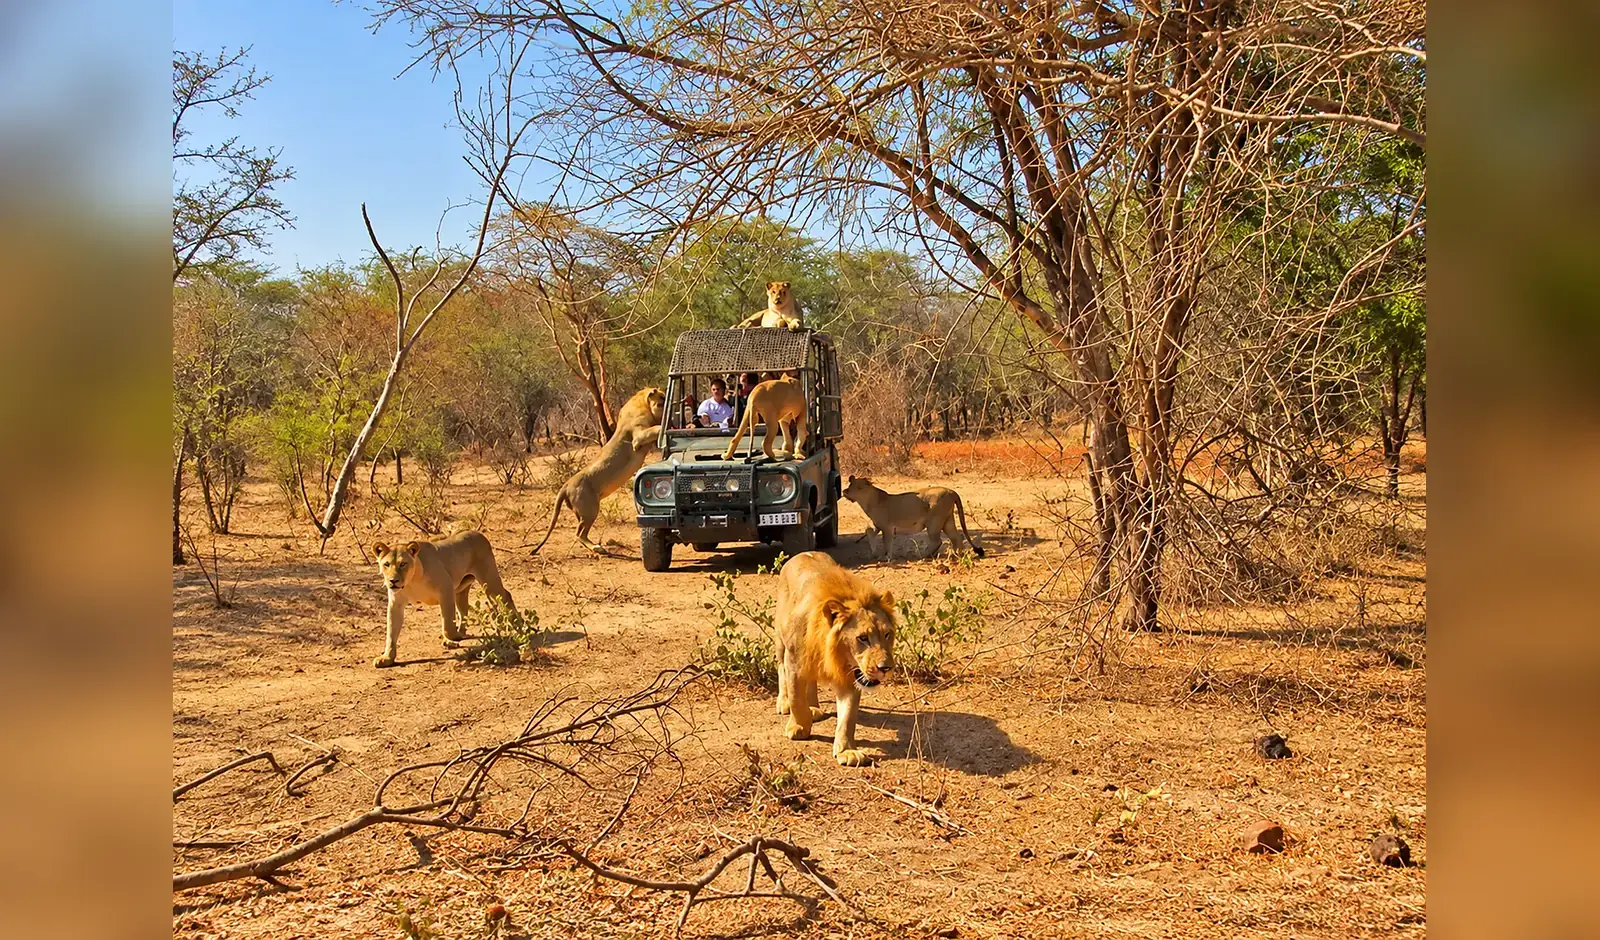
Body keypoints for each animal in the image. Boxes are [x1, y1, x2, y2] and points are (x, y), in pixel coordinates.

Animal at [372, 531, 516, 668]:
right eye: (386, 564)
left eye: (403, 564)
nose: (393, 581)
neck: (411, 581)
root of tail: (478, 533)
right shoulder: (396, 603)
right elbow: (391, 632)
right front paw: (387, 658)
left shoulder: (446, 589)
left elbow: (447, 624)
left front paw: (453, 638)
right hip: (461, 590)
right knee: (463, 610)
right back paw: (461, 632)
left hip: (488, 580)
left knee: (506, 595)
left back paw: (515, 622)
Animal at [773, 551, 896, 767]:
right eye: (862, 638)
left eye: (887, 634)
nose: (885, 668)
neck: (834, 654)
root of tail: (799, 554)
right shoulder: (794, 661)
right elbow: (796, 697)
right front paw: (799, 727)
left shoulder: (850, 677)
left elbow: (847, 718)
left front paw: (847, 752)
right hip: (781, 640)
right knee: (781, 669)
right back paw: (784, 703)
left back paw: (814, 708)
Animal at [842, 475, 985, 562]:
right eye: (850, 485)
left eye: (859, 487)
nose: (845, 491)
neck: (868, 502)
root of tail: (951, 491)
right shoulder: (877, 525)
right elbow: (869, 532)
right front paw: (873, 553)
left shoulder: (887, 527)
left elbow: (887, 542)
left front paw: (886, 557)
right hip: (947, 521)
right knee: (956, 538)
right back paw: (957, 555)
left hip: (934, 522)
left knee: (937, 541)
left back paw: (923, 556)